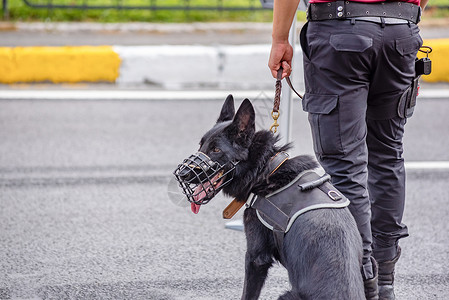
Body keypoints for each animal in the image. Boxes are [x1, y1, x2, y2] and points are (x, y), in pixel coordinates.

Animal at [173, 96, 362, 300]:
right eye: (201, 145)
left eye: (216, 150)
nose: (182, 174)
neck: (266, 168)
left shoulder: (256, 257)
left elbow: (248, 293)